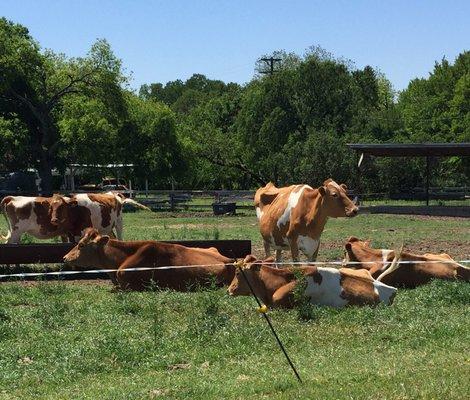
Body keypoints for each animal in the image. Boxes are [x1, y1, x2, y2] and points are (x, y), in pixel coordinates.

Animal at [0, 191, 148, 244]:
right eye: (50, 208)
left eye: (62, 207)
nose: (54, 220)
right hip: (16, 232)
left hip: (118, 223)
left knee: (119, 239)